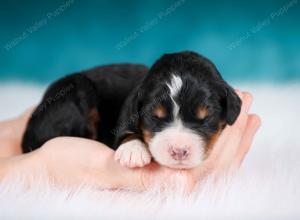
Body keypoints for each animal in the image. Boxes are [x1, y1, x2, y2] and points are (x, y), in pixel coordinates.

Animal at [21, 51, 241, 170]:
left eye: (206, 118)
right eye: (155, 117)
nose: (179, 151)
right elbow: (126, 132)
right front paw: (133, 150)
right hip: (77, 89)